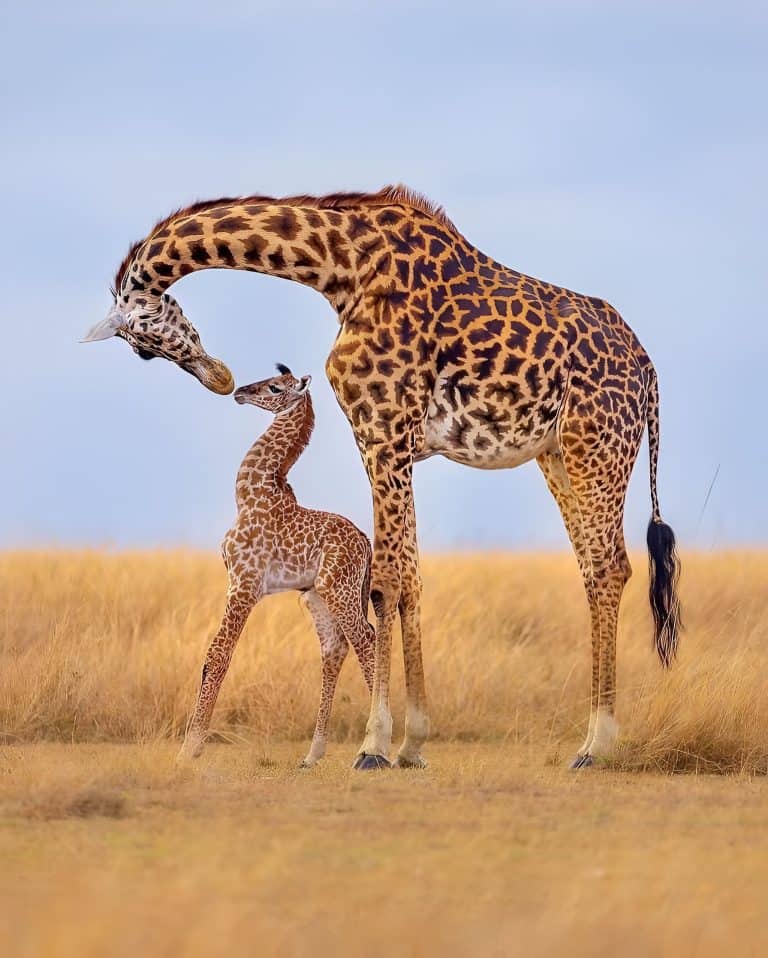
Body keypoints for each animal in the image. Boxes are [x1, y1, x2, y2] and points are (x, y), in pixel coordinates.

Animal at [176, 364, 375, 768]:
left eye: (274, 387)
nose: (239, 391)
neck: (251, 496)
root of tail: (365, 542)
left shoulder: (244, 582)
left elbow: (218, 654)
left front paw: (191, 747)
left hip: (340, 590)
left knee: (367, 639)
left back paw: (377, 748)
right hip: (317, 596)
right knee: (334, 650)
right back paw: (312, 755)